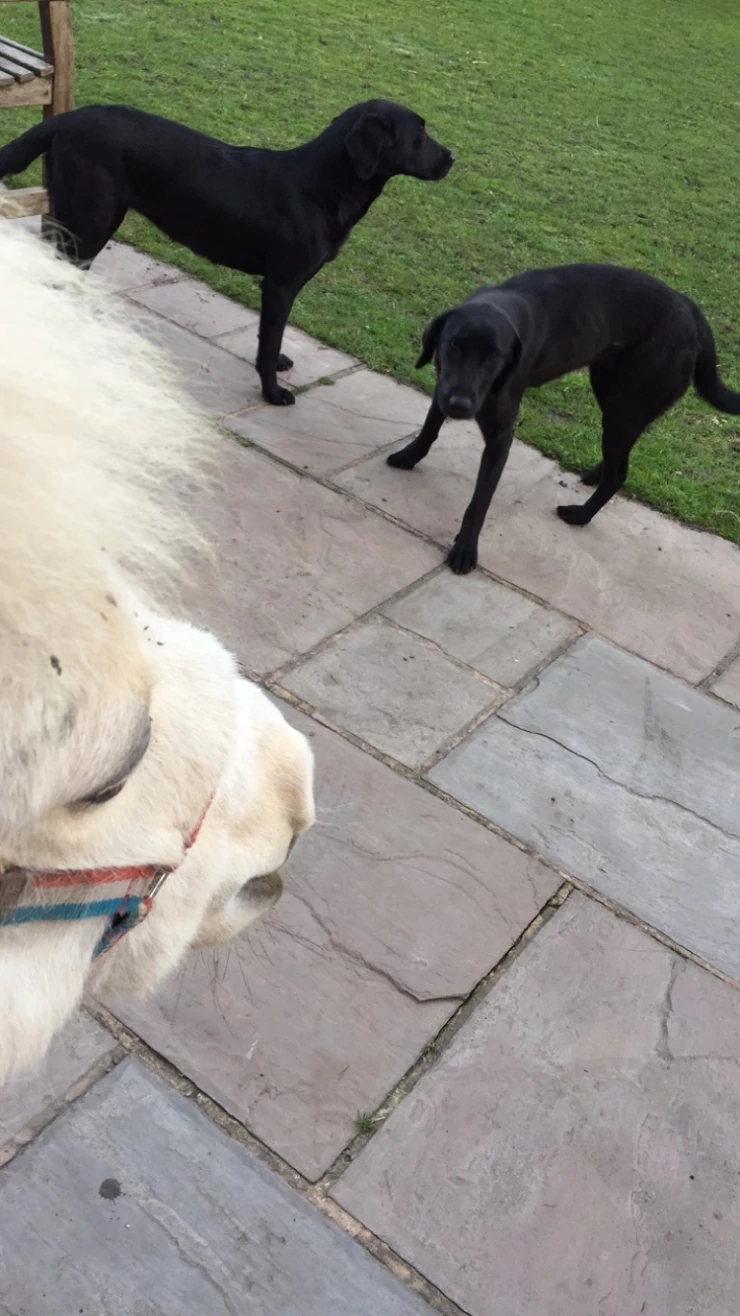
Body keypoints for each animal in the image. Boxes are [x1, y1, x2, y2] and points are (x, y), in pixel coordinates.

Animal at [0, 100, 453, 407]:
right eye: (419, 133)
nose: (452, 157)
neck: (323, 185)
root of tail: (68, 117)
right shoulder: (281, 283)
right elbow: (268, 340)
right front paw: (273, 392)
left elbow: (273, 339)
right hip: (91, 221)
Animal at [389, 263, 740, 574]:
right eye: (453, 345)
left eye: (494, 356)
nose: (460, 406)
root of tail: (691, 311)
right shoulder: (442, 388)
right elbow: (429, 429)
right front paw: (409, 456)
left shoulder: (501, 436)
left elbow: (479, 501)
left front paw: (465, 549)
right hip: (611, 392)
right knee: (621, 456)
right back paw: (597, 473)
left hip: (625, 405)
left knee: (620, 473)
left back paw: (581, 514)